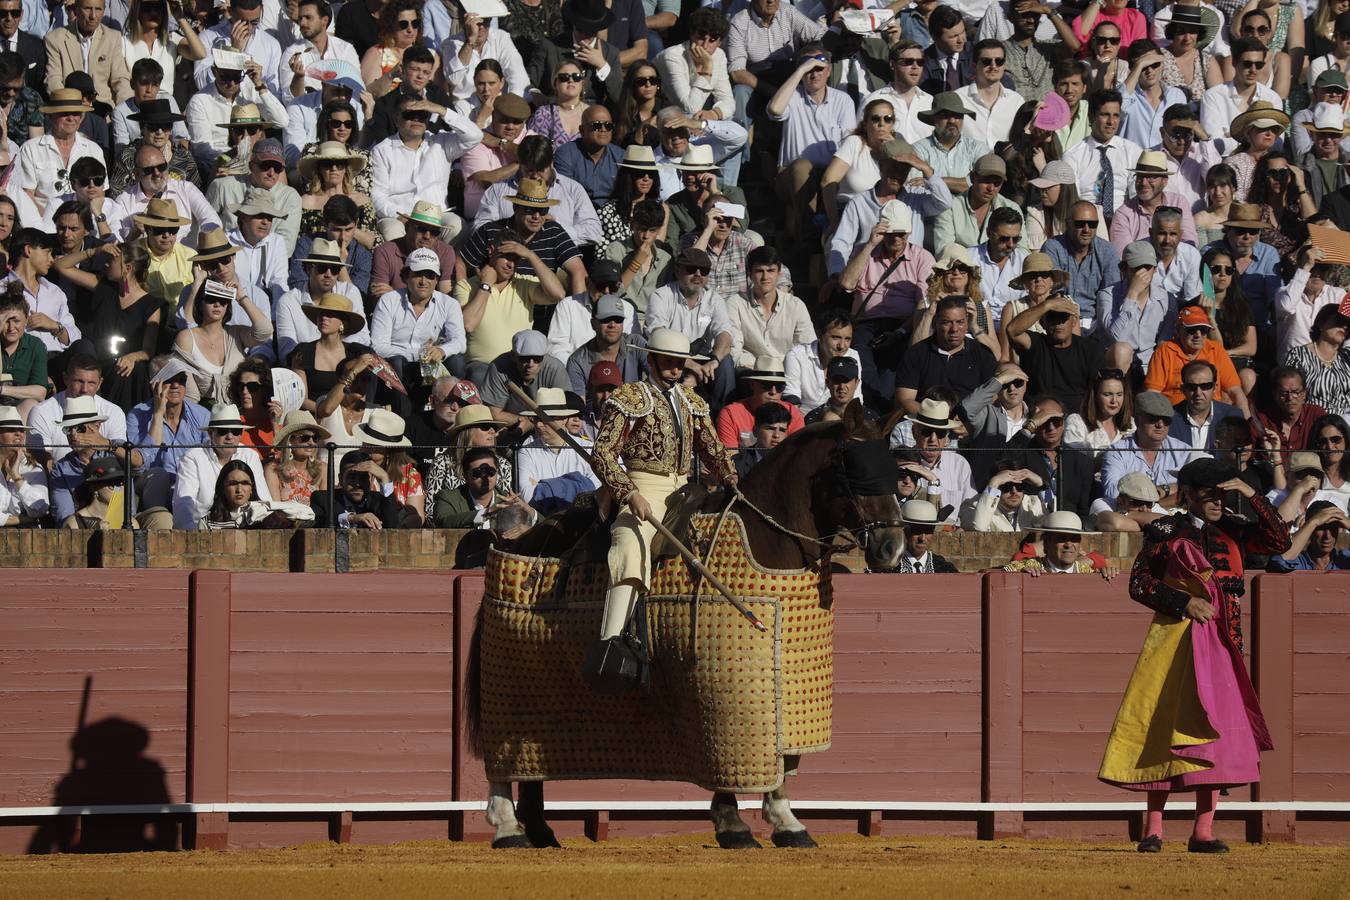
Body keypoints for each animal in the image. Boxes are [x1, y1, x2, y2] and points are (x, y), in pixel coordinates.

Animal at [467, 402, 907, 852]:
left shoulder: (786, 685)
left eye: (892, 468)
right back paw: (508, 828)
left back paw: (540, 830)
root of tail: (517, 542)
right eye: (854, 468)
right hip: (510, 686)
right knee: (501, 759)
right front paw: (734, 825)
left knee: (531, 764)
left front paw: (788, 824)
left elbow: (780, 756)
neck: (762, 537)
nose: (893, 547)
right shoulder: (721, 689)